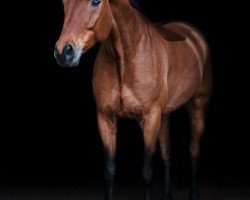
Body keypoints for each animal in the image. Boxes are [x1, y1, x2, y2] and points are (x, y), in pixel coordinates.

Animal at [53, 0, 212, 200]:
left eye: (96, 2)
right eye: (63, 4)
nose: (63, 52)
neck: (127, 58)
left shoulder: (150, 118)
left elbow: (146, 173)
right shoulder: (105, 118)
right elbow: (109, 171)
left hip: (197, 107)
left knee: (194, 151)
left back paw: (194, 193)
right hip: (165, 114)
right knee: (167, 152)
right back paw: (166, 195)